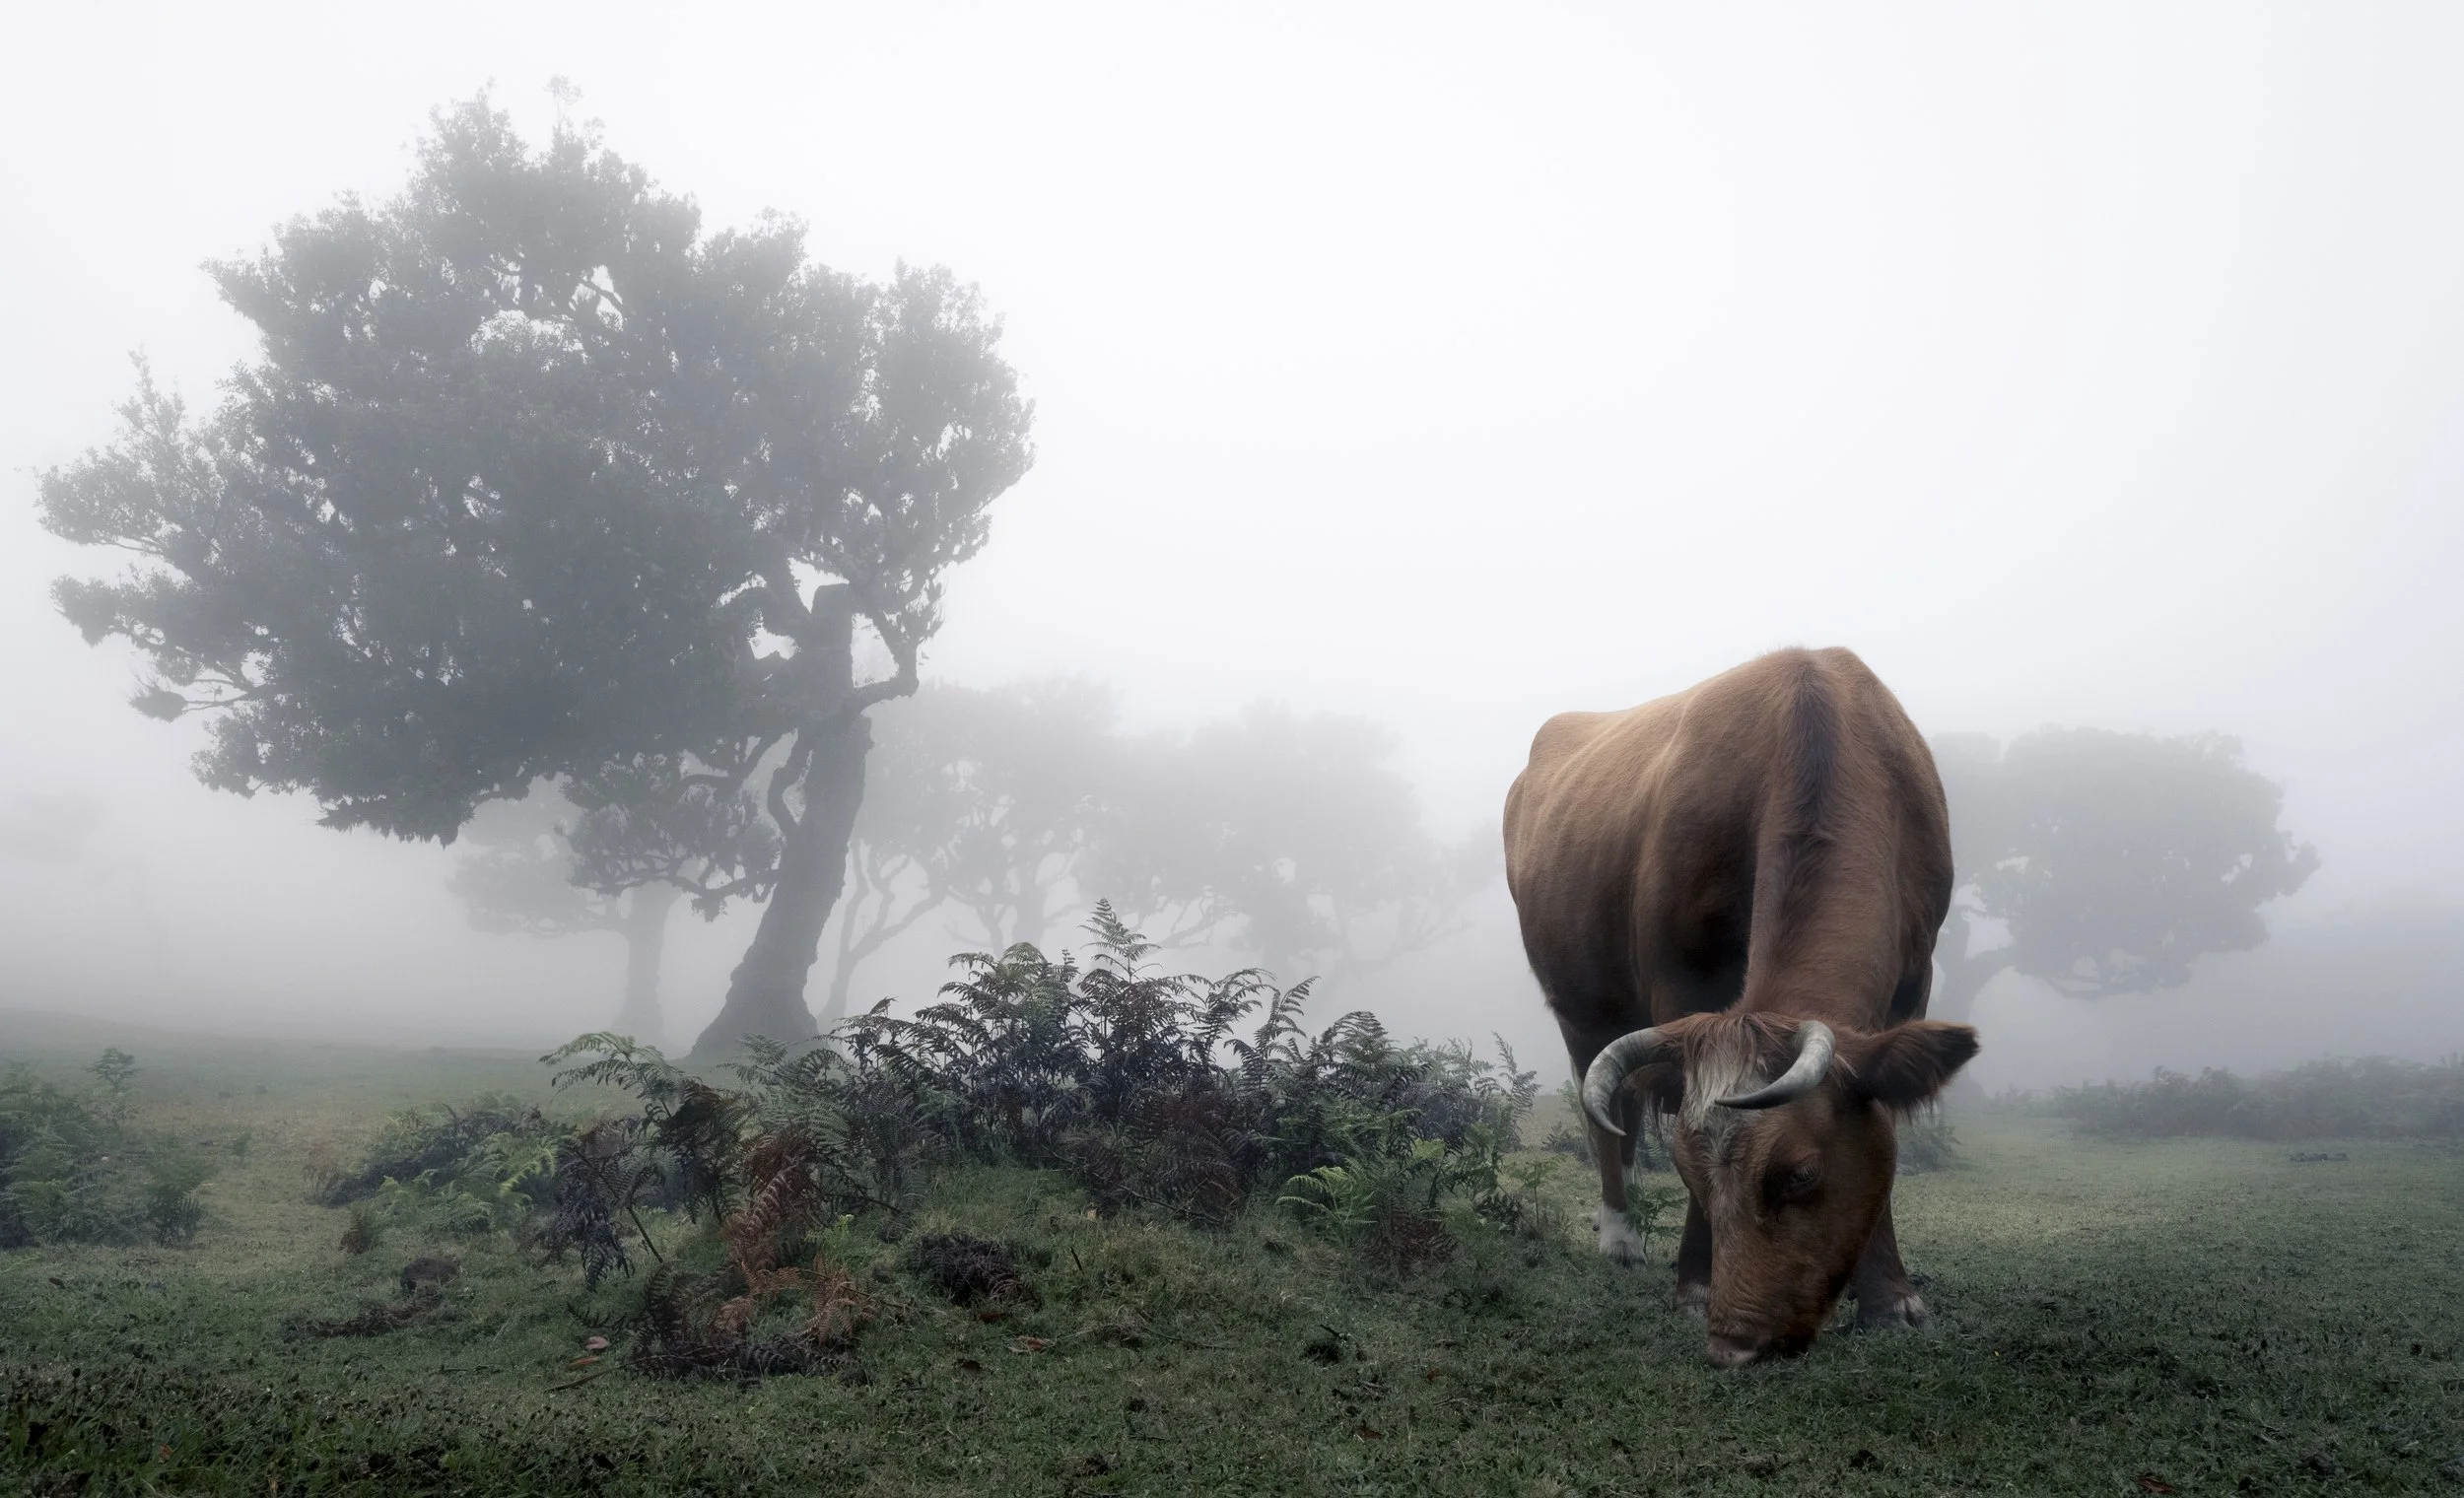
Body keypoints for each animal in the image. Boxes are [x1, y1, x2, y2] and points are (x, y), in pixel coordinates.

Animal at [1503, 647, 1977, 1367]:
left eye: (1800, 1174)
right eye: (1689, 1171)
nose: (1733, 1341)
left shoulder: (1912, 979)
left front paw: (1891, 1299)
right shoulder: (1680, 981)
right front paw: (1695, 1280)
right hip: (1582, 1009)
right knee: (1605, 1119)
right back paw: (1620, 1237)